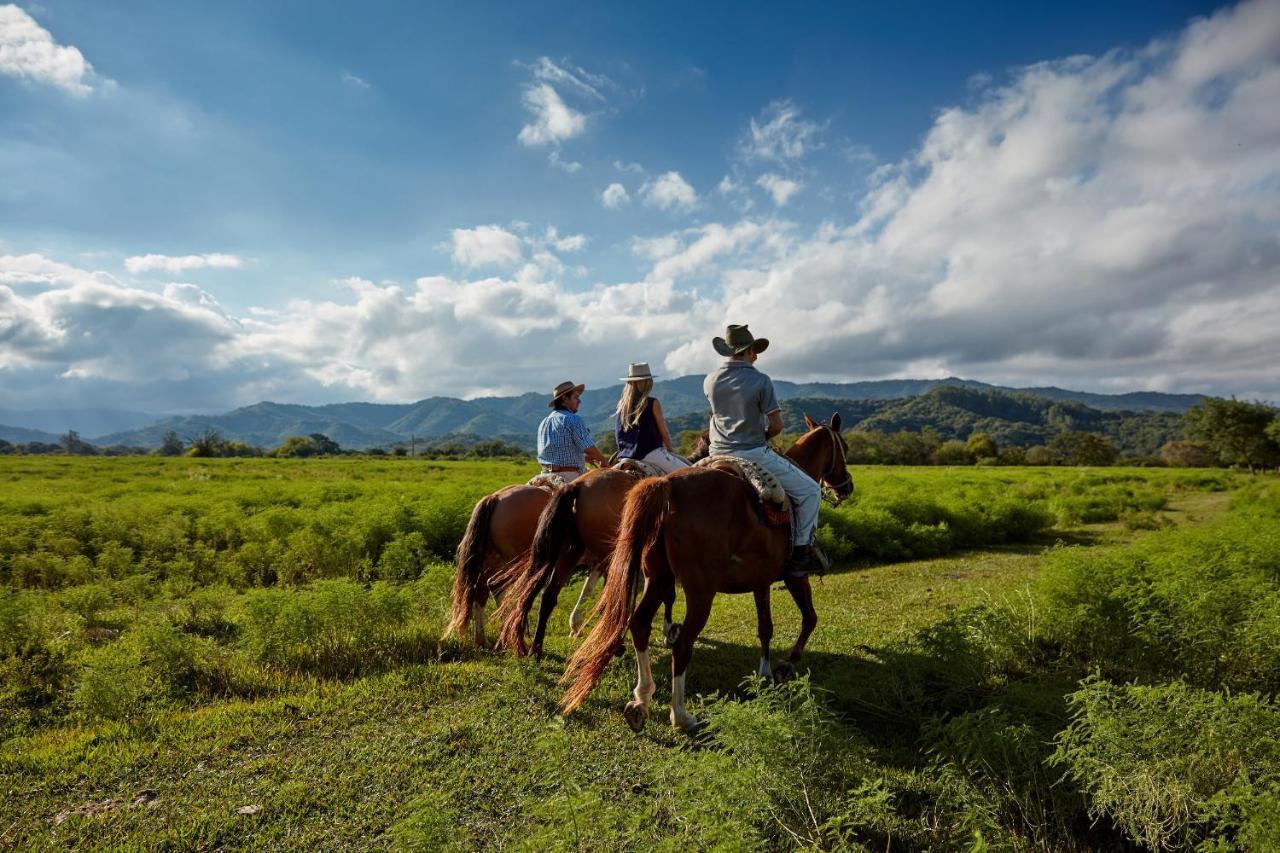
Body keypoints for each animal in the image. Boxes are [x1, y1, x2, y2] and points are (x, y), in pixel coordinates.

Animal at [560, 412, 849, 732]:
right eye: (844, 448)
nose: (847, 487)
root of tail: (668, 486)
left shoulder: (760, 580)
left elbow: (765, 627)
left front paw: (764, 673)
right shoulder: (794, 575)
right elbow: (809, 618)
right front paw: (785, 666)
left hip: (656, 576)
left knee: (638, 621)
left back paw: (640, 699)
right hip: (700, 590)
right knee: (683, 641)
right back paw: (680, 715)